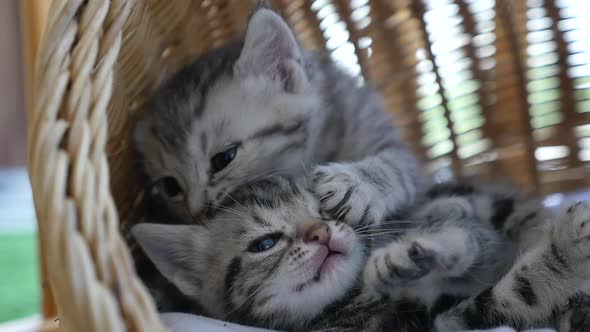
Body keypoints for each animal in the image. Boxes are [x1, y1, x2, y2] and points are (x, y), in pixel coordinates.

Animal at [132, 176, 590, 330]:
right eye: (264, 244)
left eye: (325, 210)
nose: (320, 233)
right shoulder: (441, 322)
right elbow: (514, 294)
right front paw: (568, 250)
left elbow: (468, 238)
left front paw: (417, 250)